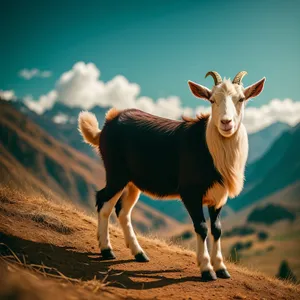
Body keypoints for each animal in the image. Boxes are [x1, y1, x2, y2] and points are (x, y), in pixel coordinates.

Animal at [78, 71, 266, 282]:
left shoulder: (218, 196)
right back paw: (106, 250)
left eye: (241, 99)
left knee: (123, 211)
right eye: (212, 100)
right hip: (116, 173)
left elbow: (217, 228)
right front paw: (206, 269)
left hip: (133, 183)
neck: (210, 148)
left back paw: (139, 253)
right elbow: (201, 226)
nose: (226, 123)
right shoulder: (190, 193)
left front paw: (221, 268)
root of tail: (106, 126)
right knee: (103, 202)